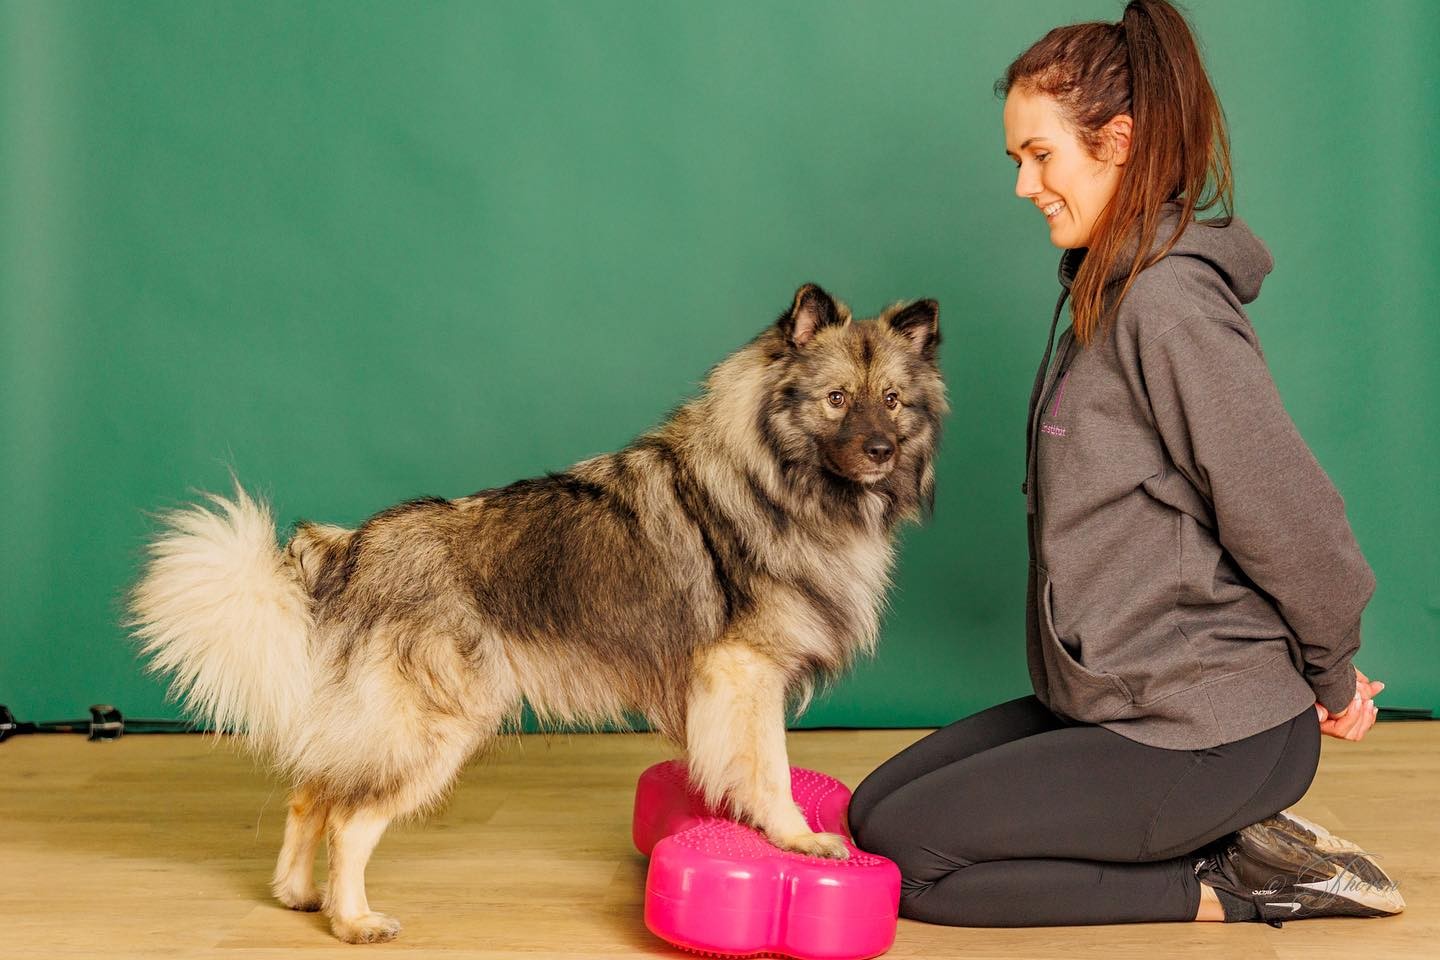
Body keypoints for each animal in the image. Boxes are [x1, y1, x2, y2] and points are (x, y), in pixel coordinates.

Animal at [126, 282, 944, 944]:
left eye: (892, 400)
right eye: (836, 398)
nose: (880, 450)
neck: (776, 477)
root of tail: (353, 548)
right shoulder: (746, 671)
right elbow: (769, 768)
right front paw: (798, 841)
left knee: (313, 792)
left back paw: (298, 894)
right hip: (437, 725)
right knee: (350, 819)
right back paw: (352, 919)